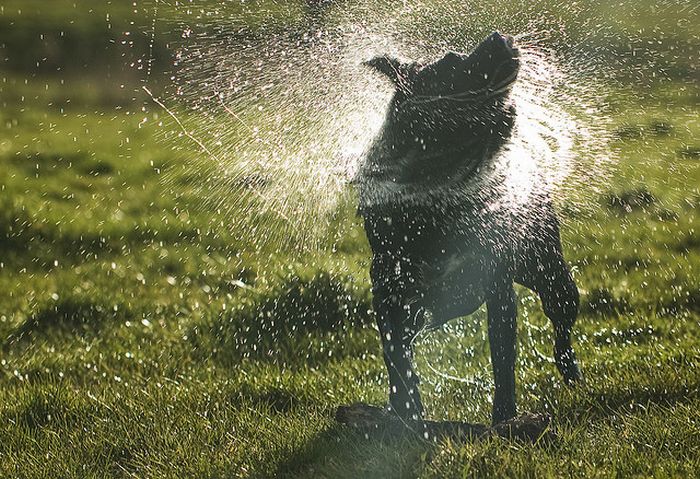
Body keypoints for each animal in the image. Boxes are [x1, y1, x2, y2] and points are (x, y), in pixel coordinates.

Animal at [358, 31, 584, 426]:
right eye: (452, 61)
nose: (498, 35)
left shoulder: (498, 287)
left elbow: (503, 359)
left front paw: (504, 418)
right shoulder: (389, 293)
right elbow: (397, 358)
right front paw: (404, 411)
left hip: (550, 275)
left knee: (561, 319)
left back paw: (569, 367)